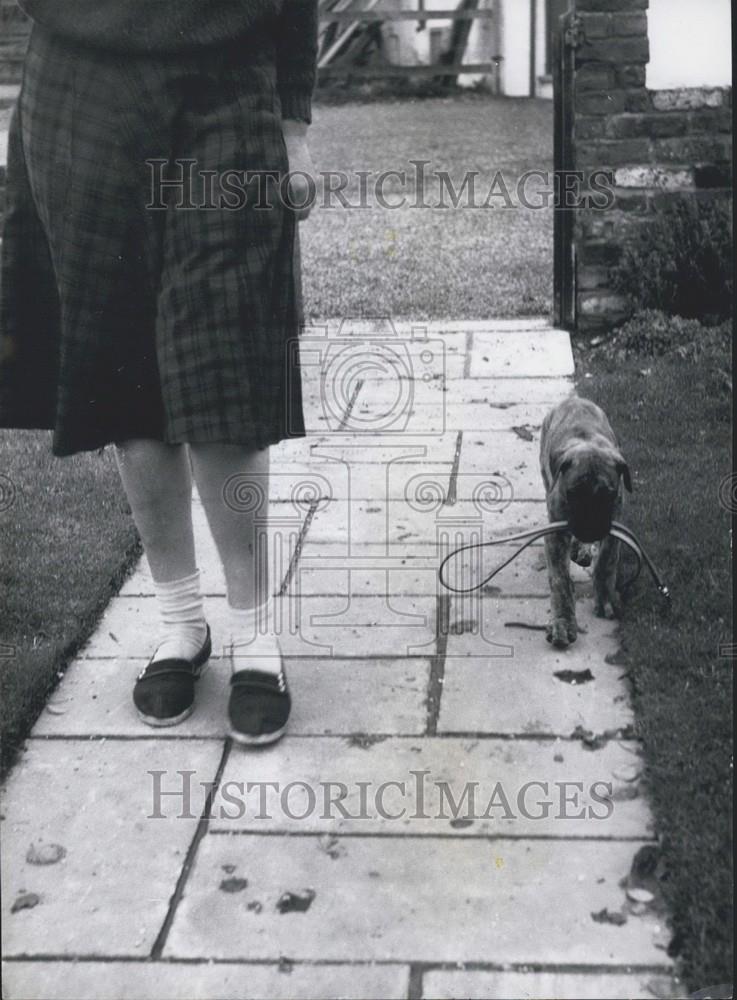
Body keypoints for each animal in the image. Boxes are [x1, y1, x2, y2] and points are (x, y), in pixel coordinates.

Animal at [536, 394, 632, 652]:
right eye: (573, 493)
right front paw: (562, 623)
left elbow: (606, 562)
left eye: (608, 495)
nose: (589, 530)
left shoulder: (614, 523)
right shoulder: (556, 533)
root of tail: (574, 398)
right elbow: (559, 579)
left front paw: (605, 598)